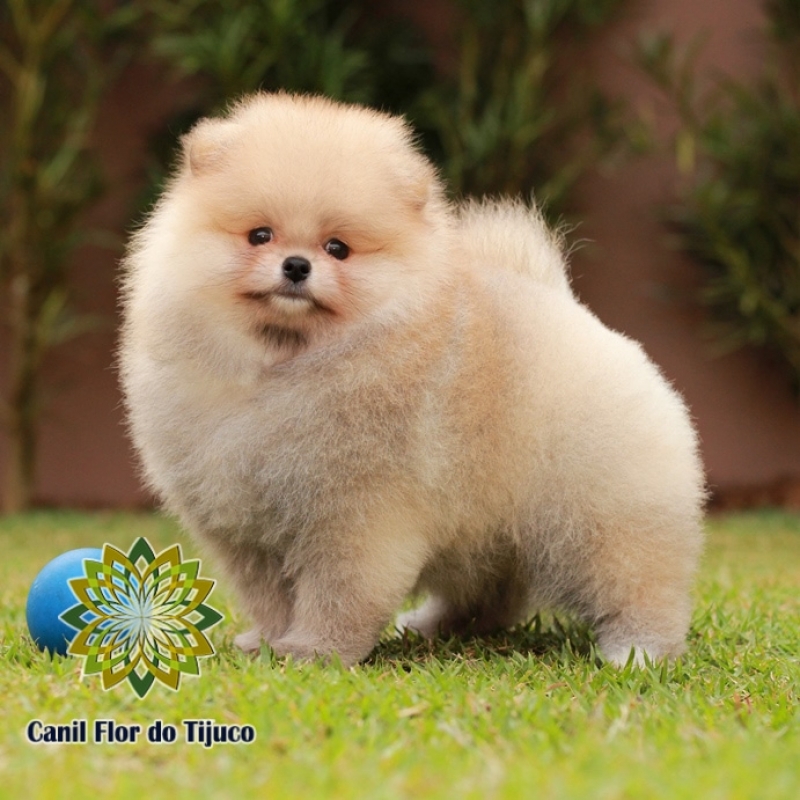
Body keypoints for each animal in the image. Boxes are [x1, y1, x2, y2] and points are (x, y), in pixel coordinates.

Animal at [120, 92, 708, 668]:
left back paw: (638, 651)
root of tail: (577, 315)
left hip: (604, 515)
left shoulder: (354, 517)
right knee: (490, 594)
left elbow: (338, 592)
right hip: (493, 533)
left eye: (337, 248)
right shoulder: (249, 529)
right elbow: (270, 596)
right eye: (259, 235)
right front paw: (268, 641)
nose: (295, 265)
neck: (286, 366)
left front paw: (315, 650)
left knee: (638, 586)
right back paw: (433, 626)